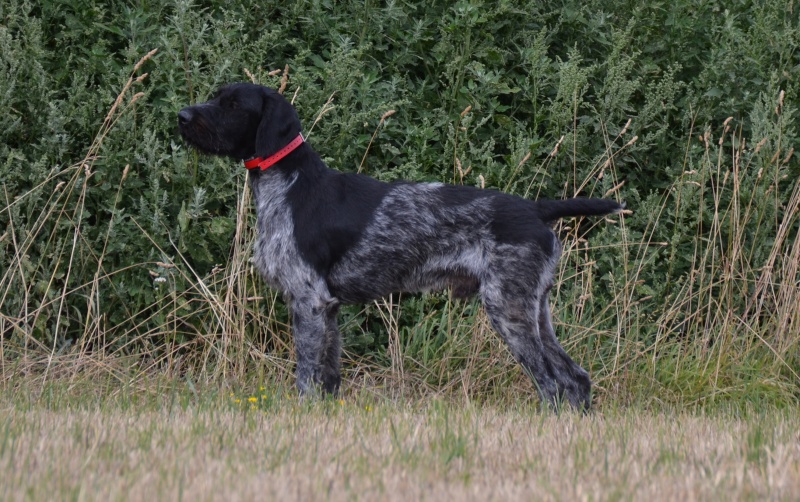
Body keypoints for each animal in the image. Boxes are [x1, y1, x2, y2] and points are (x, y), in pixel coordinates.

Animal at [181, 83, 624, 412]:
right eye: (216, 97)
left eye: (232, 105)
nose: (182, 117)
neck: (288, 186)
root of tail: (536, 208)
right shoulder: (329, 308)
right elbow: (329, 376)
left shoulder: (309, 301)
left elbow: (307, 374)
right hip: (536, 310)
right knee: (575, 378)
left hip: (508, 309)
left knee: (551, 382)